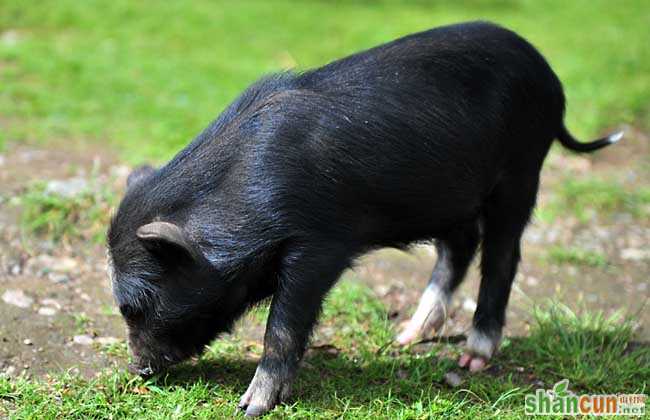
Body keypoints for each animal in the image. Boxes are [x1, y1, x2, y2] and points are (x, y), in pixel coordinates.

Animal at [109, 21, 620, 416]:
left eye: (133, 306)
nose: (136, 369)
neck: (246, 196)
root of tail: (547, 72)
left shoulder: (318, 245)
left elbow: (283, 325)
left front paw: (251, 407)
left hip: (521, 171)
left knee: (502, 256)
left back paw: (470, 359)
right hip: (449, 195)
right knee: (458, 250)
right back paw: (405, 338)